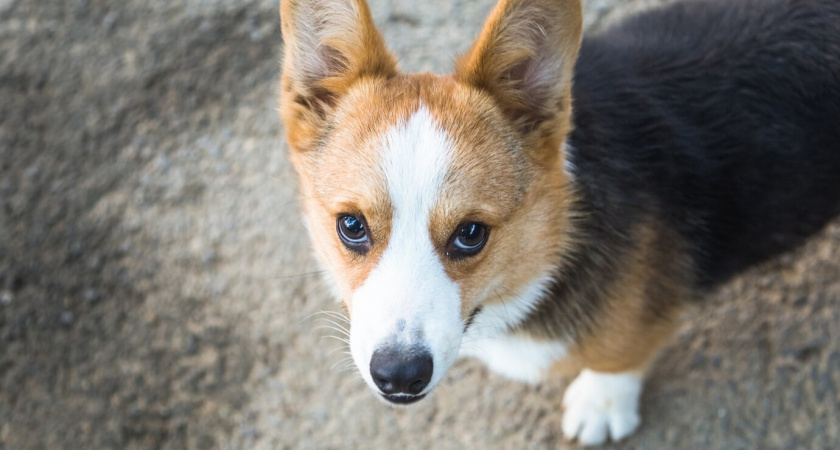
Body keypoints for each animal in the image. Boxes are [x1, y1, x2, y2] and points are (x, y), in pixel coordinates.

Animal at [278, 0, 840, 444]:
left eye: (471, 234)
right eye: (351, 226)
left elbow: (619, 355)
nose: (398, 376)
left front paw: (601, 403)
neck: (558, 229)